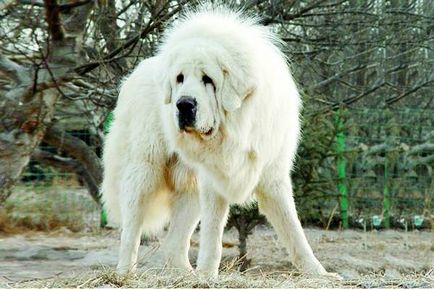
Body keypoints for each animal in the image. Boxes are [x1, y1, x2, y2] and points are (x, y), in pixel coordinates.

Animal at [101, 6, 332, 276]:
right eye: (180, 78)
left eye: (208, 79)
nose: (184, 105)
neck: (238, 130)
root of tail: (136, 72)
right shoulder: (213, 179)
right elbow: (213, 237)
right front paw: (207, 276)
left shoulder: (272, 176)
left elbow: (294, 231)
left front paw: (319, 273)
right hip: (144, 173)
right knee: (131, 231)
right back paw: (125, 274)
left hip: (189, 188)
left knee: (172, 245)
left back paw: (185, 275)